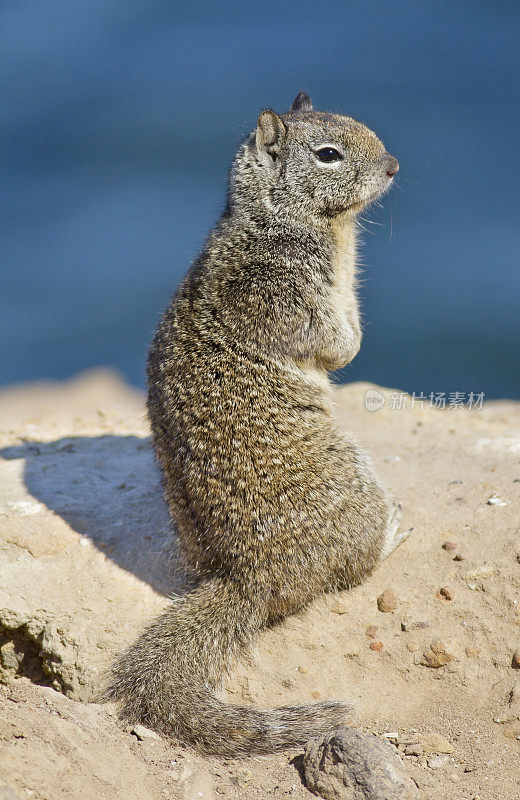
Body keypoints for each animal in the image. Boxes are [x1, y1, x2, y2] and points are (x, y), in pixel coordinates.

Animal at [105, 92, 406, 756]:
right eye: (328, 154)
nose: (394, 166)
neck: (275, 222)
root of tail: (245, 580)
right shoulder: (299, 298)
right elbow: (338, 345)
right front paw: (352, 345)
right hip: (357, 486)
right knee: (353, 571)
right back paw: (395, 530)